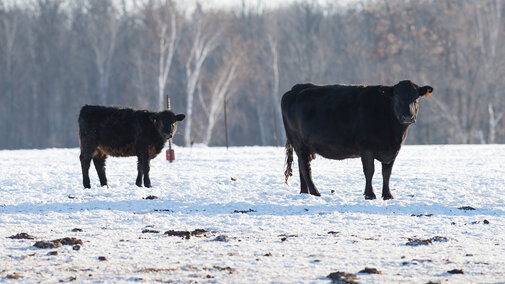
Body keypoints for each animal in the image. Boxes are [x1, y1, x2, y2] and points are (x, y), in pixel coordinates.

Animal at [282, 80, 432, 200]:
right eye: (397, 97)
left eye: (416, 98)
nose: (408, 116)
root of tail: (296, 88)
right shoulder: (366, 148)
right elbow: (369, 171)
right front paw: (370, 194)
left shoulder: (393, 151)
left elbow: (387, 173)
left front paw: (387, 195)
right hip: (299, 143)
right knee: (305, 168)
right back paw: (315, 192)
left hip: (304, 147)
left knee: (302, 167)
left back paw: (304, 192)